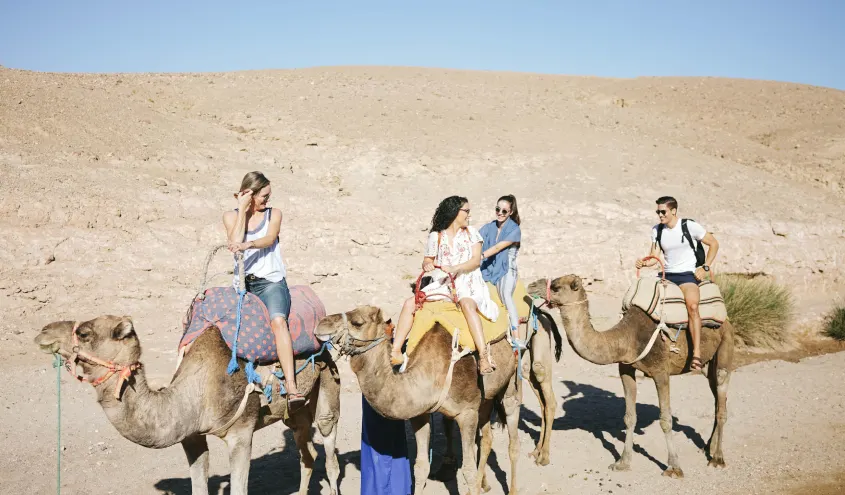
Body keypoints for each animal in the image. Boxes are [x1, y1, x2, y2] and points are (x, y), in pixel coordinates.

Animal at [32, 316, 342, 495]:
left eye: (84, 333)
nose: (43, 331)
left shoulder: (241, 433)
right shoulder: (191, 436)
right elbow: (199, 487)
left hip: (328, 383)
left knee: (330, 452)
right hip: (295, 413)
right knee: (306, 452)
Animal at [314, 306, 528, 495]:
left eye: (358, 322)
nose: (321, 324)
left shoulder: (467, 413)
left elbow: (468, 470)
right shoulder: (420, 414)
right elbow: (421, 467)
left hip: (511, 380)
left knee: (513, 439)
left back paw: (512, 490)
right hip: (486, 399)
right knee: (487, 439)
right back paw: (484, 484)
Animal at [528, 278, 732, 478]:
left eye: (556, 287)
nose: (531, 285)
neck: (627, 338)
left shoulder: (661, 372)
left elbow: (666, 420)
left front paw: (674, 467)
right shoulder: (625, 369)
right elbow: (629, 417)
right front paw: (623, 462)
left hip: (724, 346)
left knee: (721, 399)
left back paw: (717, 458)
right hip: (707, 365)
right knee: (717, 399)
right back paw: (709, 446)